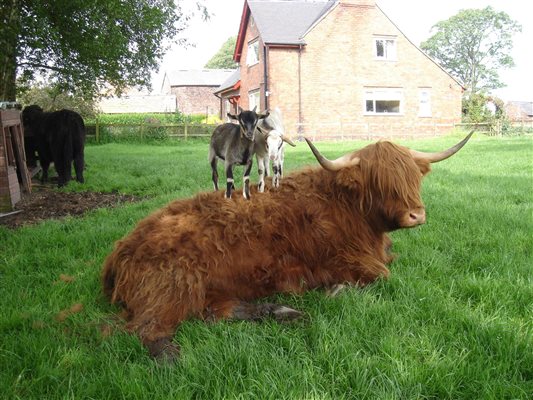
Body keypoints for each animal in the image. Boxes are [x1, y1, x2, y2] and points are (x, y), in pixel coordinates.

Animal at [102, 132, 472, 362]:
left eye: (413, 177)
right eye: (381, 182)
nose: (416, 215)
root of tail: (122, 247)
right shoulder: (351, 262)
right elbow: (381, 276)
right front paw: (335, 291)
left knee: (213, 313)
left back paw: (281, 311)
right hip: (174, 284)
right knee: (147, 329)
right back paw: (174, 359)